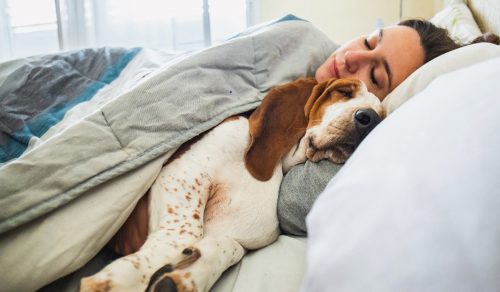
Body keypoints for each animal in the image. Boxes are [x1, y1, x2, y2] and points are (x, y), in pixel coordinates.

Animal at [79, 77, 382, 292]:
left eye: (381, 111)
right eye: (344, 92)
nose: (369, 119)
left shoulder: (241, 238)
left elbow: (226, 247)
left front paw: (186, 275)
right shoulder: (184, 171)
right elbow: (186, 234)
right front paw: (118, 280)